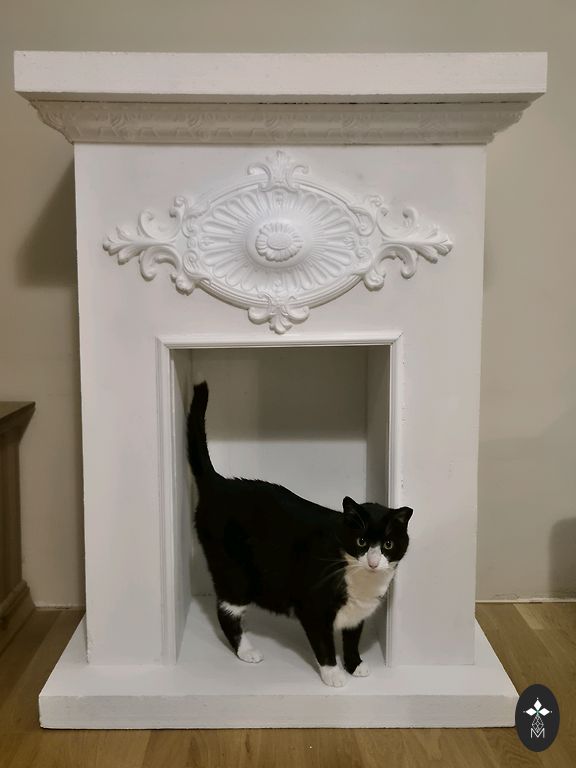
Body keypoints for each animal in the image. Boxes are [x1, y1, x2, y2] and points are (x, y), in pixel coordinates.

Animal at [187, 381, 412, 687]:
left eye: (388, 544)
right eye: (361, 541)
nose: (374, 561)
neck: (361, 580)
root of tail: (219, 483)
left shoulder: (357, 614)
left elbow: (352, 638)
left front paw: (355, 665)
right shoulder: (313, 608)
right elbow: (324, 644)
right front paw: (333, 674)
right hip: (234, 572)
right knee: (226, 610)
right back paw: (246, 651)